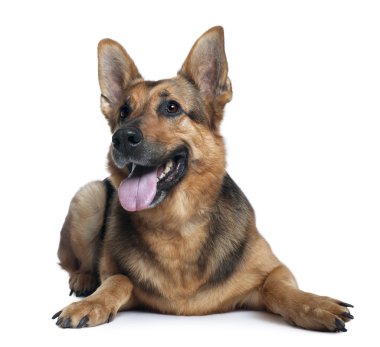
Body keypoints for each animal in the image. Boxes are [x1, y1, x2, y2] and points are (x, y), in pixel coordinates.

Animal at [52, 26, 354, 332]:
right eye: (123, 112)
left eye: (172, 107)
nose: (121, 138)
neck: (177, 227)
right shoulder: (118, 274)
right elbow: (118, 279)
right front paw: (90, 304)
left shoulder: (276, 270)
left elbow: (276, 287)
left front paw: (316, 304)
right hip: (89, 196)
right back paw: (84, 279)